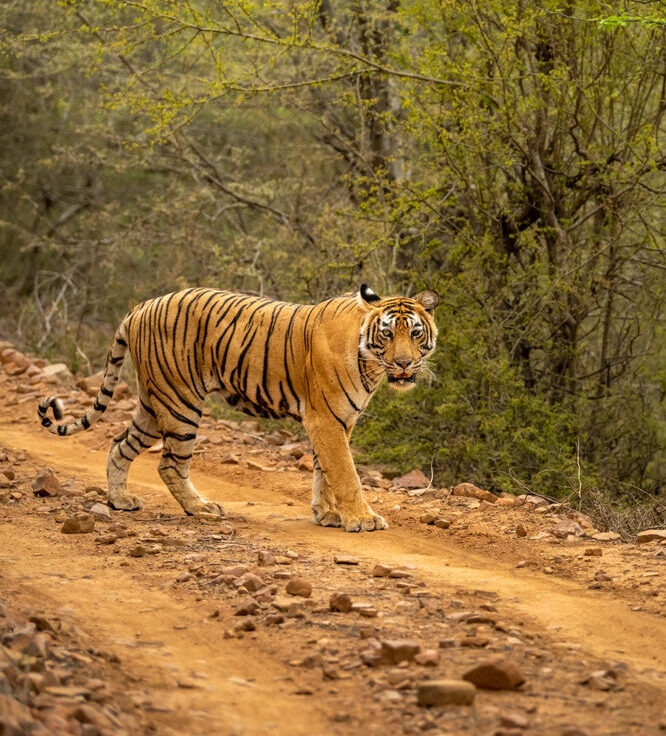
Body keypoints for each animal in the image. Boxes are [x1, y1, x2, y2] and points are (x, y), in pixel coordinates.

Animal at [39, 284, 438, 532]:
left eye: (416, 333)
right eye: (387, 333)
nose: (404, 364)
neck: (369, 361)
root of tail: (141, 306)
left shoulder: (340, 420)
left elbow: (324, 471)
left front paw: (327, 515)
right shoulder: (325, 418)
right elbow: (345, 473)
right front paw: (362, 519)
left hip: (153, 405)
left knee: (120, 445)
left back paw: (120, 500)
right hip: (180, 402)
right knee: (169, 464)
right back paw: (201, 508)